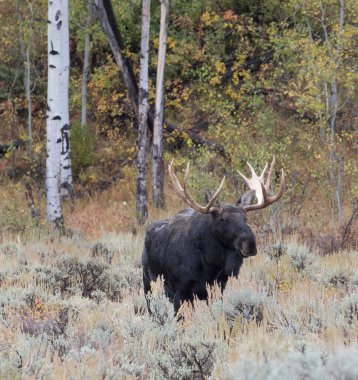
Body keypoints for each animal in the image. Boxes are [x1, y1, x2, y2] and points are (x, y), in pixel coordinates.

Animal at [143, 157, 286, 314]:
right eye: (223, 219)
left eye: (245, 218)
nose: (250, 244)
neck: (210, 264)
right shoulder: (180, 291)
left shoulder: (218, 287)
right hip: (148, 283)